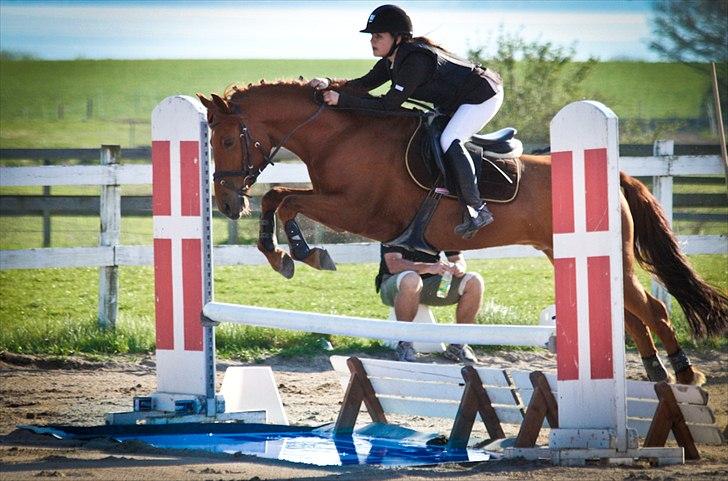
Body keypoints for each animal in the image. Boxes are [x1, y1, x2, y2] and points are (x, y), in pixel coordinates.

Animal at [195, 79, 728, 386]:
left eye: (228, 139)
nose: (227, 204)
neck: (343, 133)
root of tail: (616, 173)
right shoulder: (340, 202)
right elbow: (277, 197)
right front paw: (281, 254)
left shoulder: (359, 210)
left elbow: (286, 199)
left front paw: (304, 252)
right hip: (571, 254)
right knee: (631, 313)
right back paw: (656, 372)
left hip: (609, 258)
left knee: (653, 308)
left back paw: (685, 373)